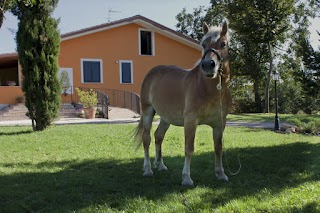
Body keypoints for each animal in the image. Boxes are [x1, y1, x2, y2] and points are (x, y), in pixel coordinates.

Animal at [134, 20, 231, 186]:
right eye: (203, 44)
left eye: (223, 43)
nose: (208, 65)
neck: (208, 89)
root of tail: (151, 73)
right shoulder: (190, 121)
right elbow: (189, 148)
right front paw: (186, 177)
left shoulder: (220, 123)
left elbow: (218, 148)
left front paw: (221, 174)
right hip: (147, 112)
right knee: (146, 139)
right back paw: (148, 170)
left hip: (166, 118)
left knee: (158, 136)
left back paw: (161, 165)